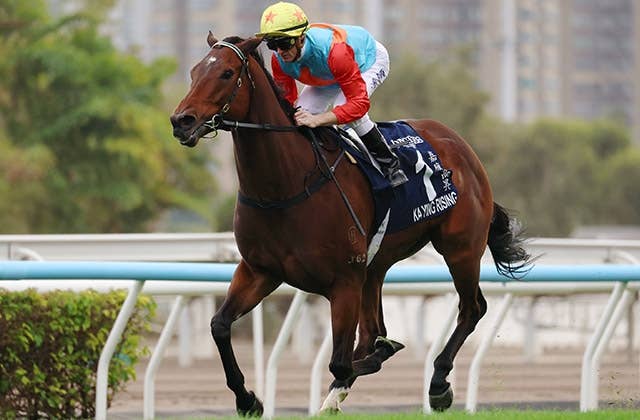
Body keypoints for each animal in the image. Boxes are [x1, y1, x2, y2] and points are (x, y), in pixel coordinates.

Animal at [170, 33, 531, 415]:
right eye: (194, 71)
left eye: (226, 73)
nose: (181, 120)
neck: (286, 186)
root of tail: (459, 144)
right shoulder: (259, 271)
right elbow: (220, 326)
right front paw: (248, 399)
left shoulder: (343, 282)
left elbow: (343, 362)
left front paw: (385, 358)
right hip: (376, 267)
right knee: (374, 330)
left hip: (460, 248)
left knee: (471, 308)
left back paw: (437, 384)